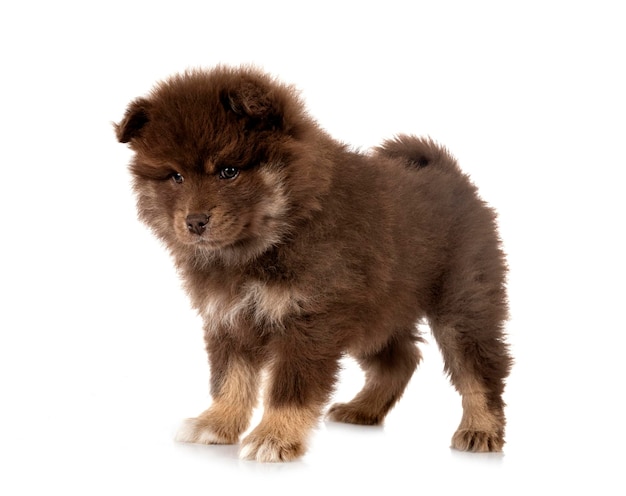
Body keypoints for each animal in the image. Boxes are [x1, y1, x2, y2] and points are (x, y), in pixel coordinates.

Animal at [114, 66, 510, 462]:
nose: (194, 221)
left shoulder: (310, 319)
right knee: (401, 358)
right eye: (175, 176)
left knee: (479, 367)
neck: (270, 239)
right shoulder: (228, 316)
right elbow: (230, 378)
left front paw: (274, 436)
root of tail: (453, 175)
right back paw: (363, 408)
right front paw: (217, 422)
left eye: (228, 171)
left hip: (461, 303)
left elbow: (291, 387)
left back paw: (480, 428)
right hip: (376, 311)